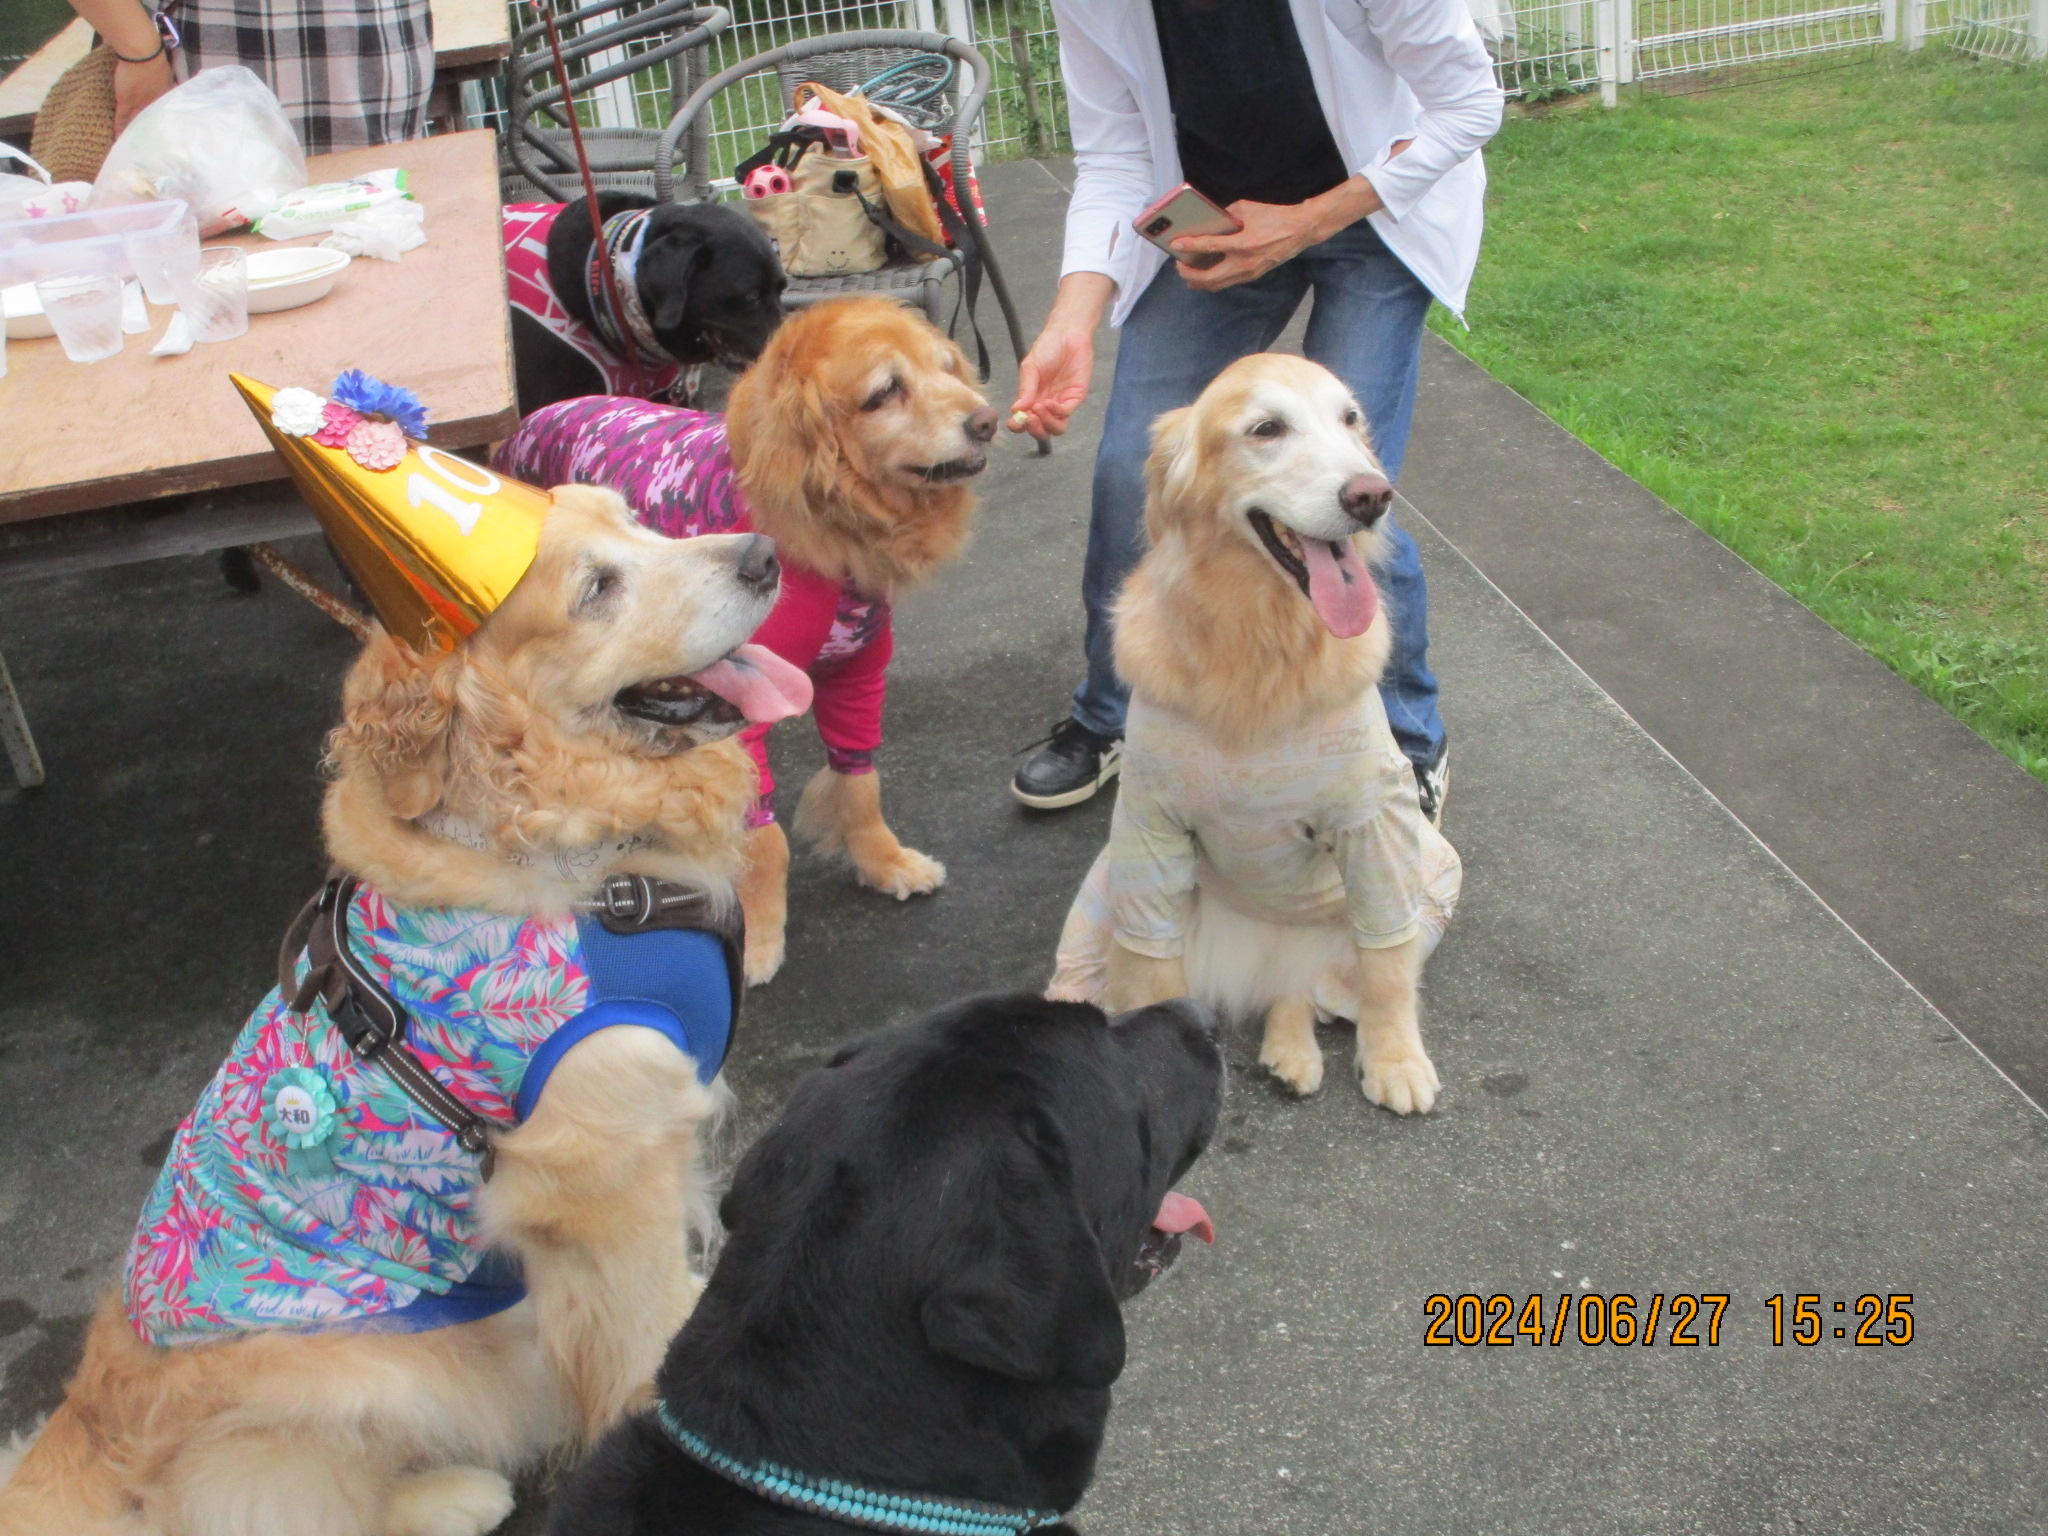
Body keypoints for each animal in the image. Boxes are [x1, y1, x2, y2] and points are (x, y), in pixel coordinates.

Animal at [0, 487, 815, 1536]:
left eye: (638, 521)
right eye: (597, 587)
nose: (764, 555)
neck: (578, 843)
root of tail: (86, 1434)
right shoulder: (599, 1179)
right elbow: (639, 1333)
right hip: (377, 1368)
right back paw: (452, 1495)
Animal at [494, 297, 997, 987]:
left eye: (947, 368)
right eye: (885, 392)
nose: (988, 421)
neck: (826, 530)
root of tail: (533, 418)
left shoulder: (858, 673)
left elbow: (860, 782)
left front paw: (882, 861)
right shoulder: (740, 703)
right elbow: (764, 839)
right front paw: (759, 938)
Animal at [1048, 354, 1463, 1112]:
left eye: (1351, 419)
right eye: (1267, 429)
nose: (1372, 495)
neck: (1256, 643)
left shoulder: (1378, 828)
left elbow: (1388, 965)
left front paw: (1395, 1060)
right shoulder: (1149, 827)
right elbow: (1151, 977)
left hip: (1435, 875)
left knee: (1307, 993)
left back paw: (1291, 1050)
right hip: (1103, 889)